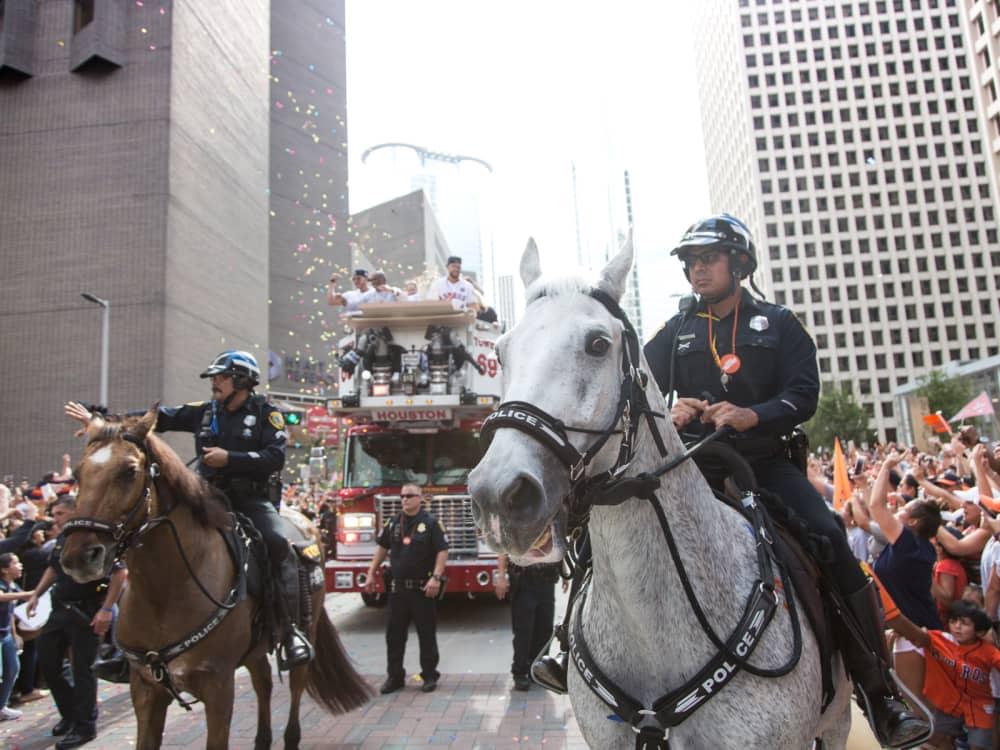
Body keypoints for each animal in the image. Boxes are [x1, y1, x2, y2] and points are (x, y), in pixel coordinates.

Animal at [59, 412, 372, 750]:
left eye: (129, 471)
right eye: (77, 473)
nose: (79, 556)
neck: (164, 593)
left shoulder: (218, 687)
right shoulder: (145, 689)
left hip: (306, 629)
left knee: (296, 686)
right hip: (254, 648)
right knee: (263, 681)